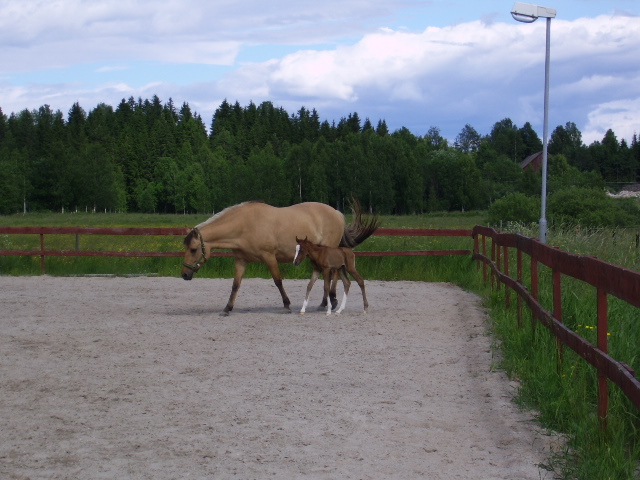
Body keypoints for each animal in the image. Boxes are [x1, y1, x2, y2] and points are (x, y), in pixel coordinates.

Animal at [181, 200, 380, 316]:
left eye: (193, 249)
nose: (184, 274)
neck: (245, 224)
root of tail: (337, 213)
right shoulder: (241, 260)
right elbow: (235, 285)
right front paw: (227, 308)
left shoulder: (269, 257)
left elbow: (278, 281)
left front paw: (286, 305)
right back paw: (326, 303)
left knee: (332, 276)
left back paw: (330, 301)